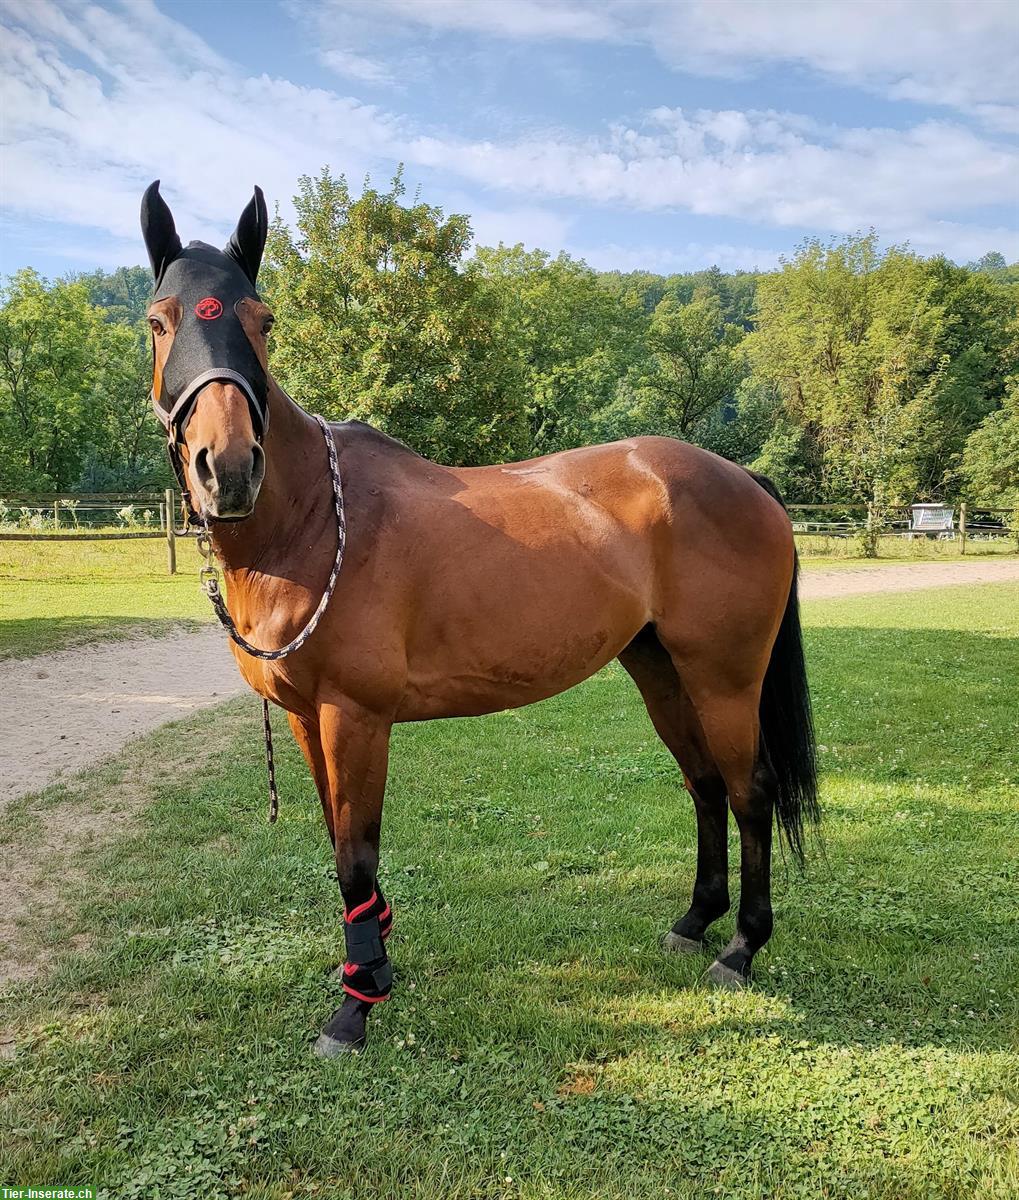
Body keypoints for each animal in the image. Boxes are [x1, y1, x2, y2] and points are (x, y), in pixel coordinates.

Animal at [141, 182, 820, 1056]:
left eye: (262, 322)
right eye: (159, 321)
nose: (226, 470)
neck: (313, 523)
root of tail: (742, 480)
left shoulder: (354, 718)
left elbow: (355, 857)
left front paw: (355, 1007)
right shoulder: (303, 719)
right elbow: (338, 846)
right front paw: (371, 969)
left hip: (724, 680)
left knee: (748, 791)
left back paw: (739, 948)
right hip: (659, 670)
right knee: (702, 784)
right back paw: (693, 921)